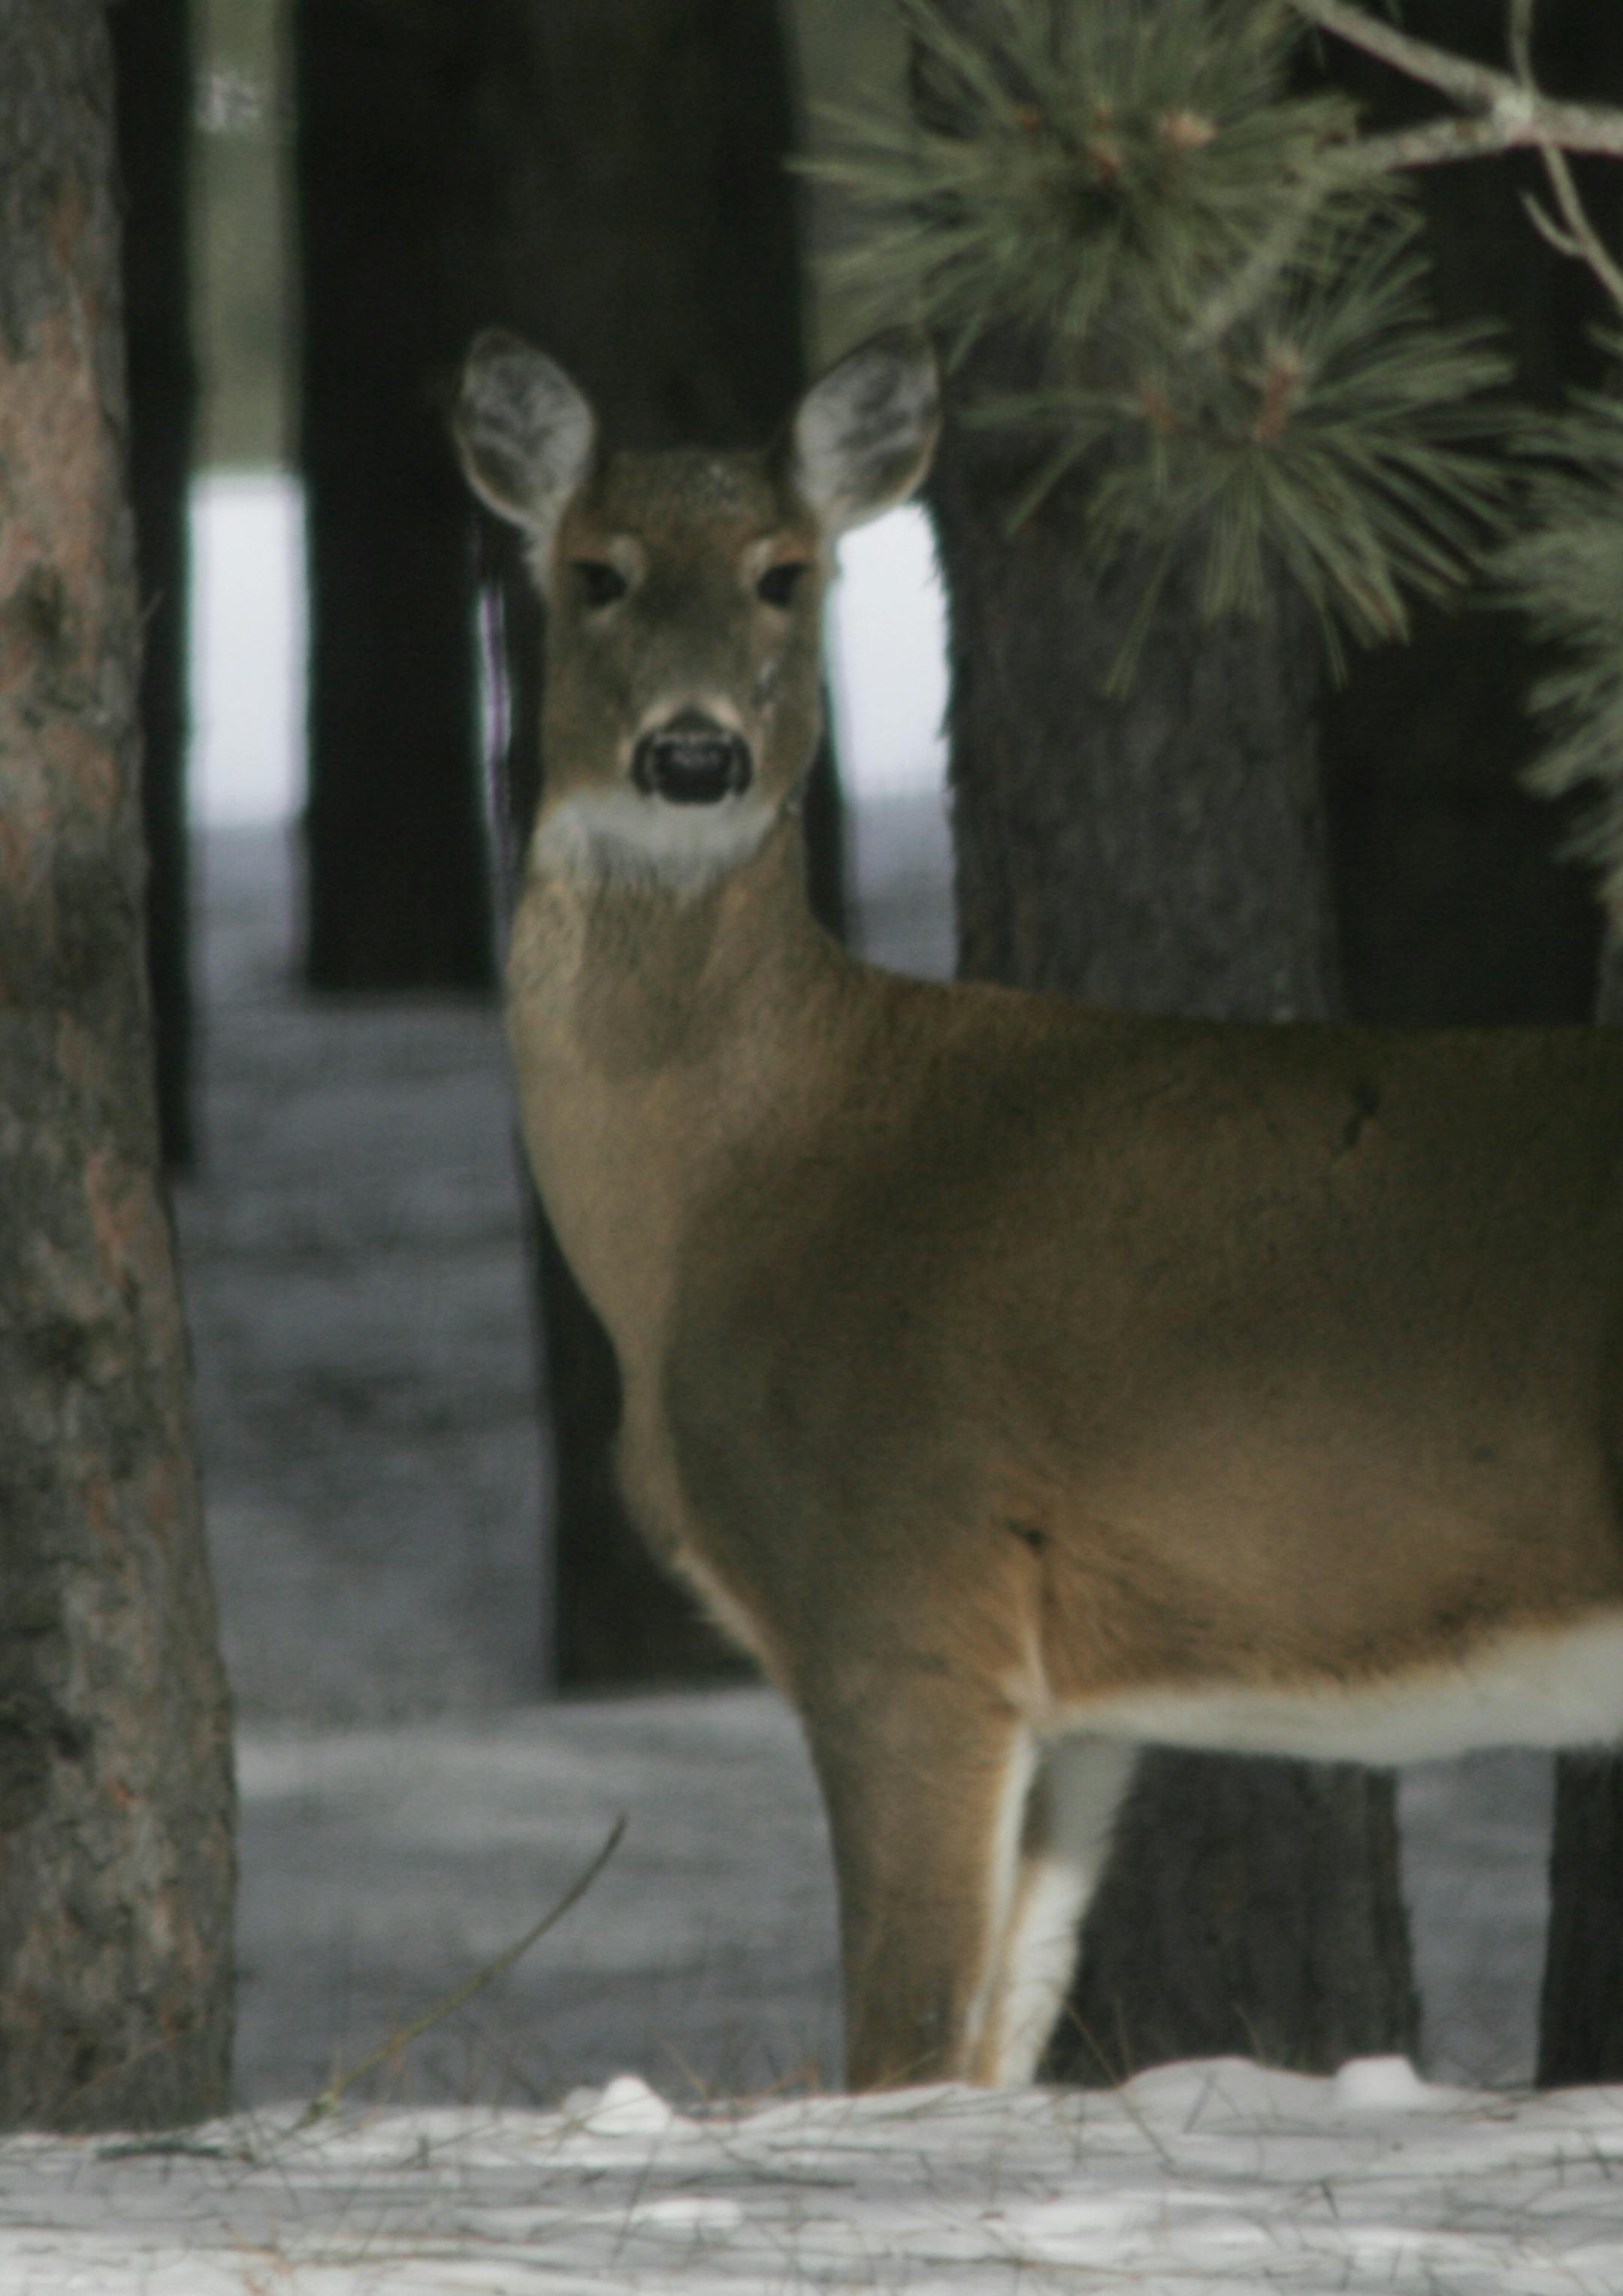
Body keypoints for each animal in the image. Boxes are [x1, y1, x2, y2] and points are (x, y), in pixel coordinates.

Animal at [453, 325, 1623, 2094]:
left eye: (788, 573)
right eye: (597, 571)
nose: (694, 754)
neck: (727, 1199)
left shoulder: (905, 1587)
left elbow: (899, 2048)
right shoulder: (1083, 1701)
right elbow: (997, 2043)